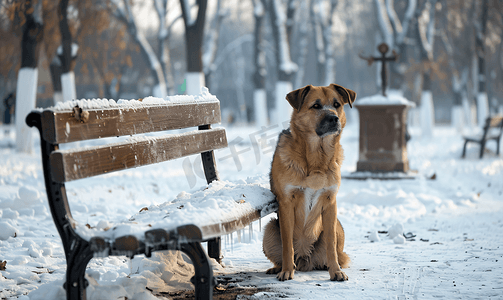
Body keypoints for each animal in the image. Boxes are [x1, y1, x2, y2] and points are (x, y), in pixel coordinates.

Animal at [264, 84, 354, 282]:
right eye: (316, 105)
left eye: (337, 104)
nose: (333, 118)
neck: (316, 161)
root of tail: (306, 260)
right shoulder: (286, 203)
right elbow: (287, 245)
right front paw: (287, 271)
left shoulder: (330, 203)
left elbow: (330, 245)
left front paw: (335, 271)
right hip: (269, 229)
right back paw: (278, 268)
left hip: (338, 227)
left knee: (335, 252)